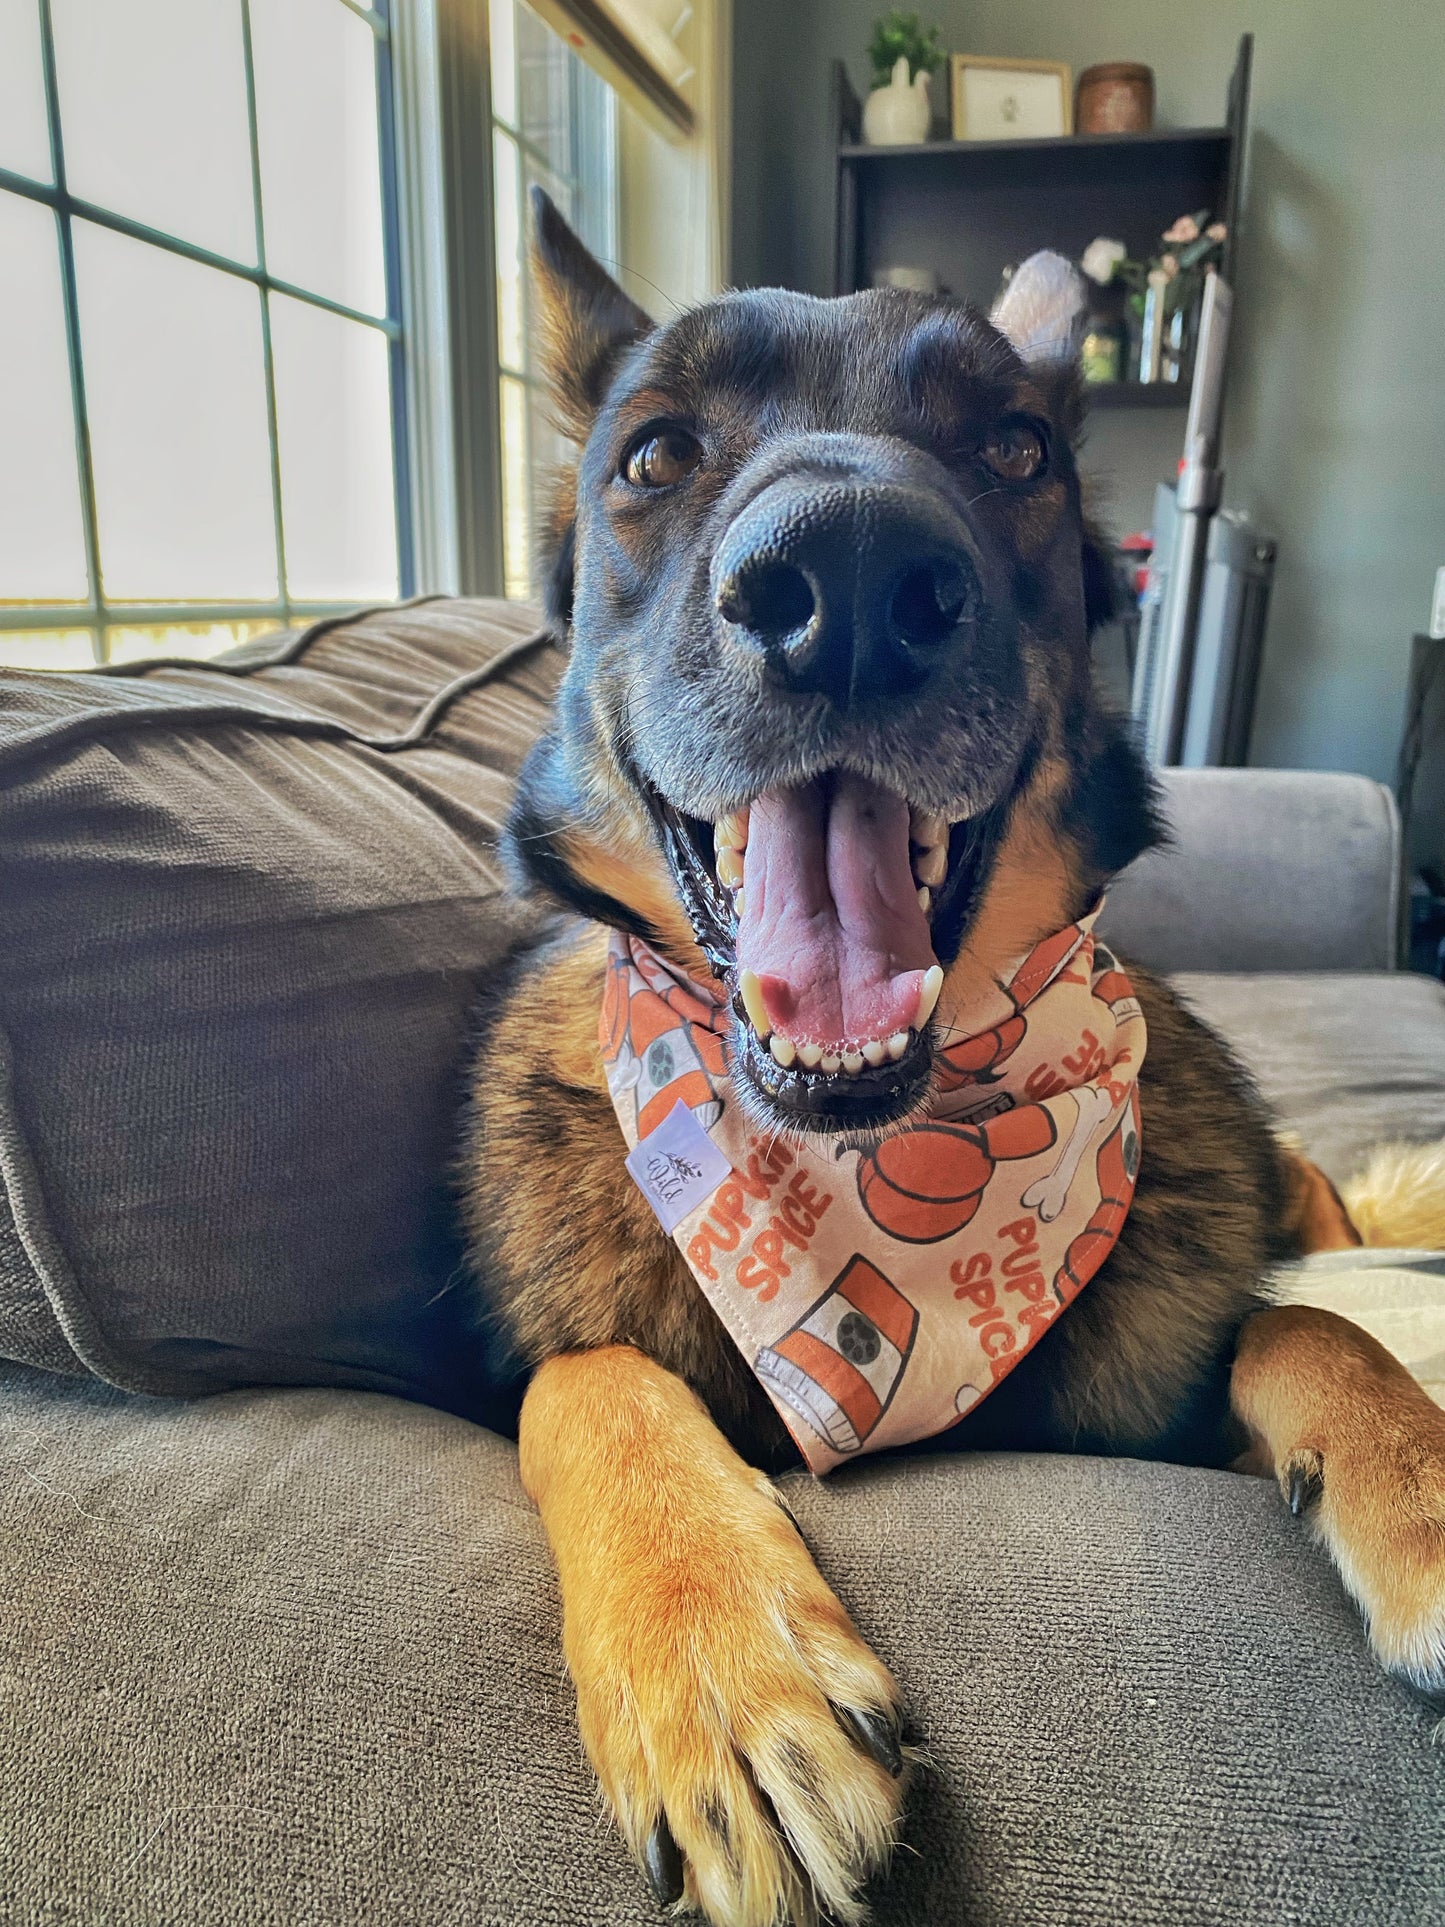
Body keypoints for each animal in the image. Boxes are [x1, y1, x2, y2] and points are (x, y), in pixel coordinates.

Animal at [466, 184, 1445, 1927]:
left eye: (1014, 450)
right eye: (654, 453)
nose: (849, 580)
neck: (863, 1149)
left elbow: (1313, 1325)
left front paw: (1424, 1491)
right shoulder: (566, 1358)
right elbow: (590, 1378)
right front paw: (722, 1666)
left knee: (1331, 1238)